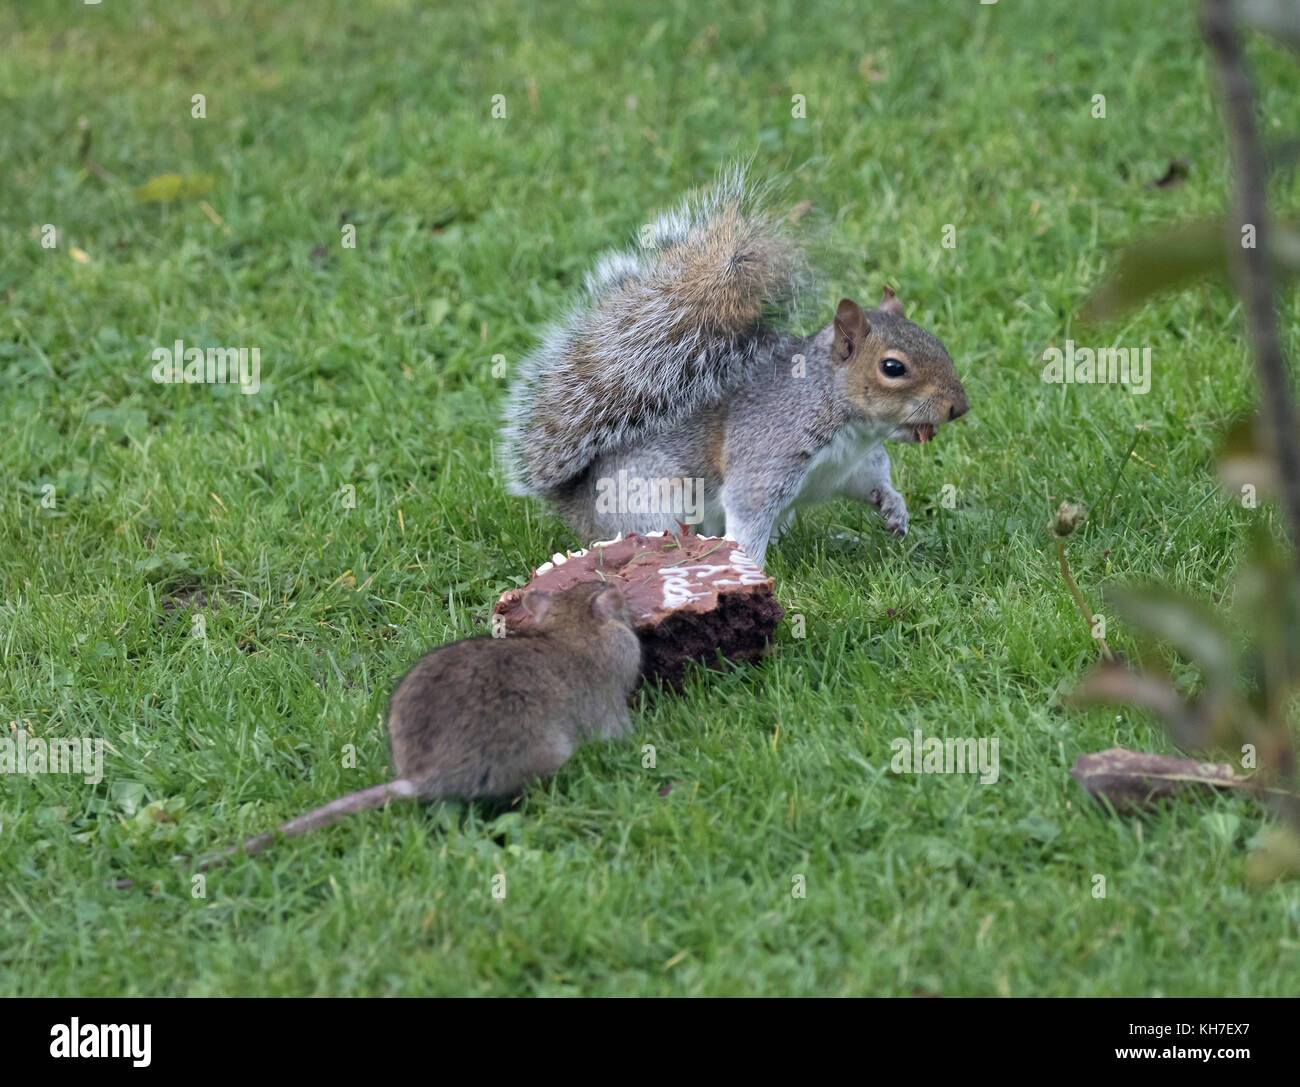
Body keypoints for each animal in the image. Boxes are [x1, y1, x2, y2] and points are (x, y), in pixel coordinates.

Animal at [500, 166, 970, 568]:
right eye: (892, 367)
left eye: (938, 343)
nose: (959, 407)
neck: (846, 424)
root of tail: (577, 505)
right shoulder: (768, 454)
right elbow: (747, 512)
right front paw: (748, 568)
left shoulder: (853, 468)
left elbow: (874, 484)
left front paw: (895, 508)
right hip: (650, 500)